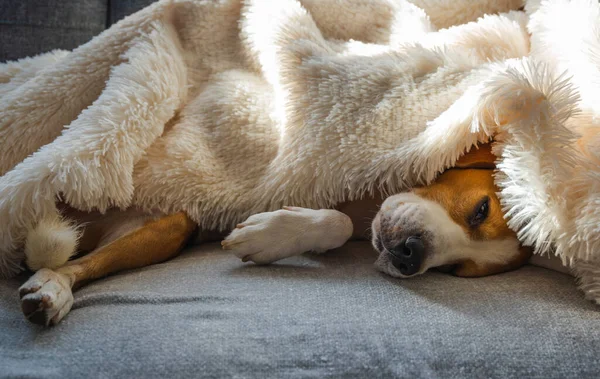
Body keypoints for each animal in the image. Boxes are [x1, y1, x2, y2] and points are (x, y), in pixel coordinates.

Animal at [16, 143, 528, 326]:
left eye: (457, 271)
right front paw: (269, 232)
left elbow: (343, 225)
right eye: (481, 209)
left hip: (167, 228)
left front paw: (269, 235)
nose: (410, 255)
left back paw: (50, 291)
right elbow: (339, 219)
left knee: (78, 262)